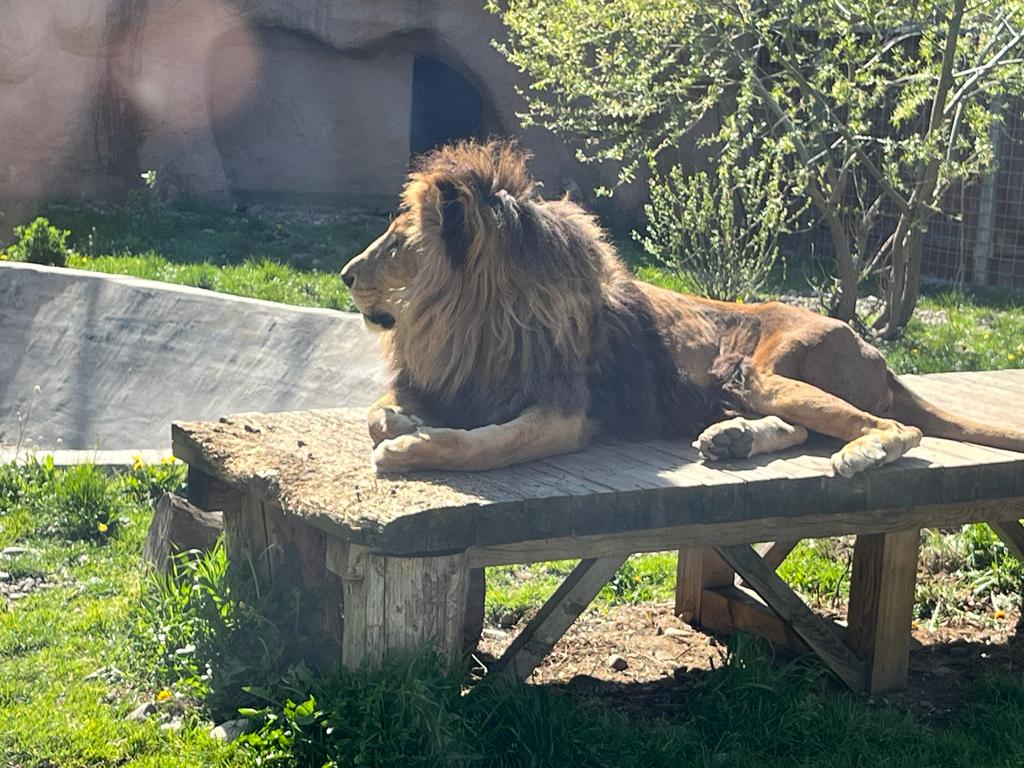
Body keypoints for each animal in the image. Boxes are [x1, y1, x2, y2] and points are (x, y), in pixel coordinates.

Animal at [342, 138, 1024, 475]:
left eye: (396, 243)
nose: (346, 276)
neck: (465, 322)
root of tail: (876, 353)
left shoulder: (566, 414)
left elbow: (487, 446)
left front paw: (411, 448)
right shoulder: (442, 376)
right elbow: (378, 413)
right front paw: (401, 422)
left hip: (765, 371)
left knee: (895, 428)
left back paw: (857, 454)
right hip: (746, 384)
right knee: (802, 427)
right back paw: (730, 439)